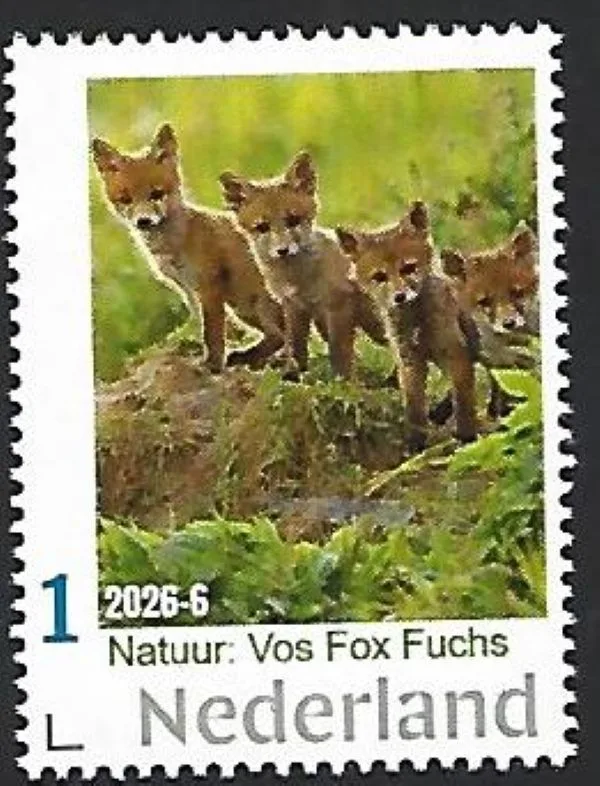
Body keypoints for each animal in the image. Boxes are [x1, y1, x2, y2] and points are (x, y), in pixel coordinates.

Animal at [92, 123, 285, 374]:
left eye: (156, 193)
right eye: (126, 199)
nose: (143, 221)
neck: (175, 244)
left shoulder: (209, 287)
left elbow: (213, 334)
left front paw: (212, 366)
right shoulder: (188, 290)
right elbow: (205, 329)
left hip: (253, 304)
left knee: (282, 336)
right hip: (244, 309)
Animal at [219, 152, 386, 380]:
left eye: (293, 220)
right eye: (262, 227)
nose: (283, 250)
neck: (298, 279)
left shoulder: (338, 307)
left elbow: (339, 352)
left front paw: (342, 382)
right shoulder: (294, 307)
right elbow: (296, 347)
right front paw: (293, 375)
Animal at [336, 202, 479, 452]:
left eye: (408, 268)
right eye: (380, 276)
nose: (399, 296)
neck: (417, 322)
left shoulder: (453, 350)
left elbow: (463, 399)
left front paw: (467, 437)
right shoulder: (409, 359)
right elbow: (414, 407)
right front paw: (416, 444)